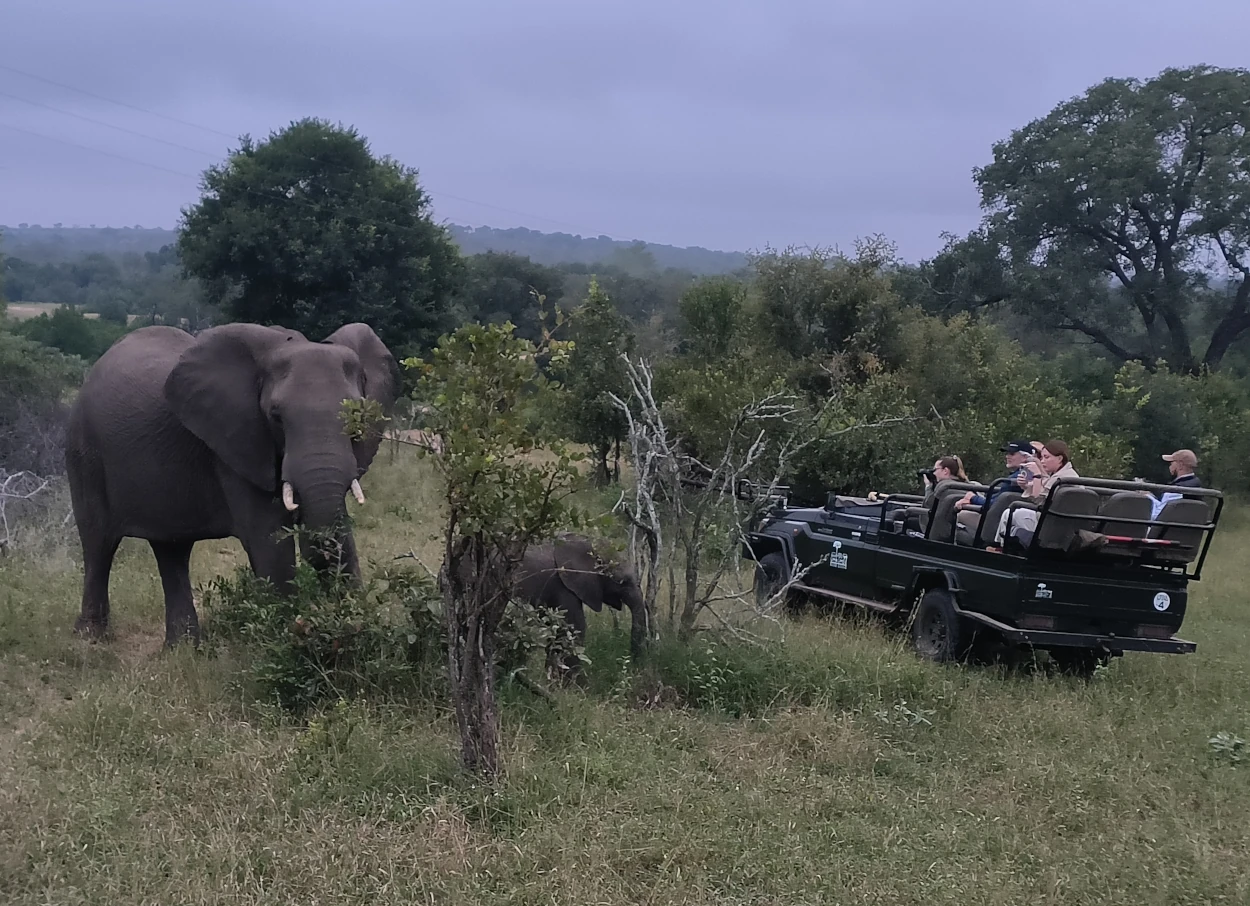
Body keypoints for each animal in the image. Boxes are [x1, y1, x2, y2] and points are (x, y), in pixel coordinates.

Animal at [64, 320, 401, 646]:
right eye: (276, 416)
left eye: (357, 414)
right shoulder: (236, 442)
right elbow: (269, 542)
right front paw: (291, 642)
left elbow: (336, 534)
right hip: (84, 452)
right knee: (98, 542)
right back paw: (91, 640)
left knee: (171, 549)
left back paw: (184, 650)